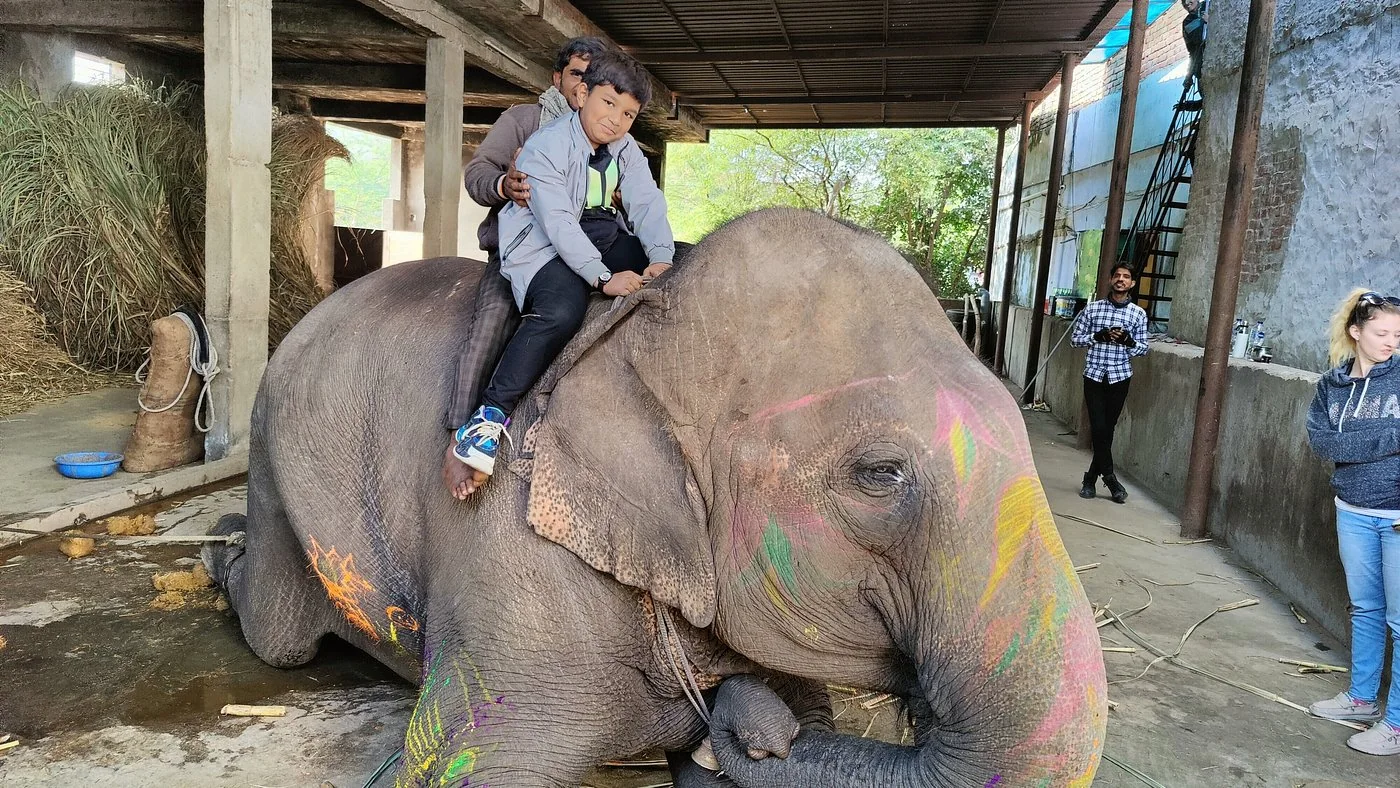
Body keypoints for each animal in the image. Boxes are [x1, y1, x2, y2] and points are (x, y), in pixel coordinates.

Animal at [204, 208, 1107, 787]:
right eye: (880, 474)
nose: (748, 729)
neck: (635, 331)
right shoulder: (514, 565)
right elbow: (452, 768)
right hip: (276, 461)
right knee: (280, 632)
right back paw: (221, 549)